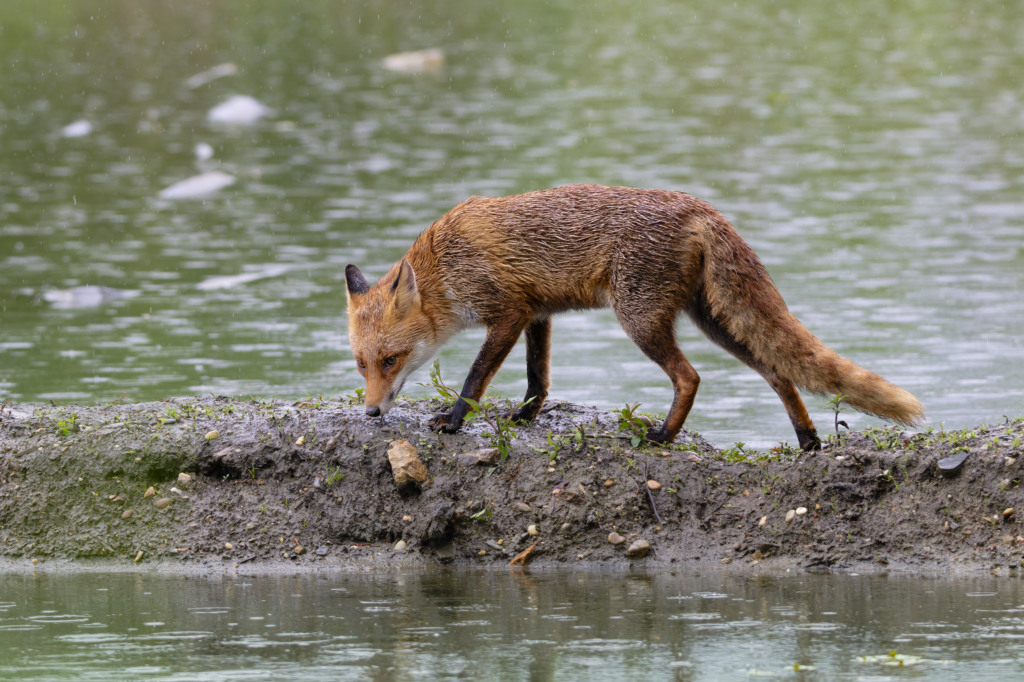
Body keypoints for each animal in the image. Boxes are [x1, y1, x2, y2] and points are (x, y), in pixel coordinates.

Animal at [344, 184, 924, 451]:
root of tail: (700, 207)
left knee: (691, 377)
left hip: (640, 320)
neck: (444, 266)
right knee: (779, 372)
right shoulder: (537, 312)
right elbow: (538, 379)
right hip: (714, 322)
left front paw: (453, 421)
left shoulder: (506, 313)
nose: (371, 414)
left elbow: (475, 377)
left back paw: (663, 436)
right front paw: (526, 418)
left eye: (391, 360)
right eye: (361, 365)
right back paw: (806, 441)